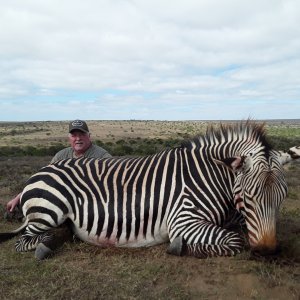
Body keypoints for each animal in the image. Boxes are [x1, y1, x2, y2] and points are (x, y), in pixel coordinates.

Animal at [1, 120, 290, 258]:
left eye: (282, 198)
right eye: (247, 197)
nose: (267, 251)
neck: (207, 175)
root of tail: (40, 171)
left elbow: (238, 228)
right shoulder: (183, 221)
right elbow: (234, 241)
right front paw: (181, 247)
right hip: (49, 211)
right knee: (25, 241)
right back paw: (48, 244)